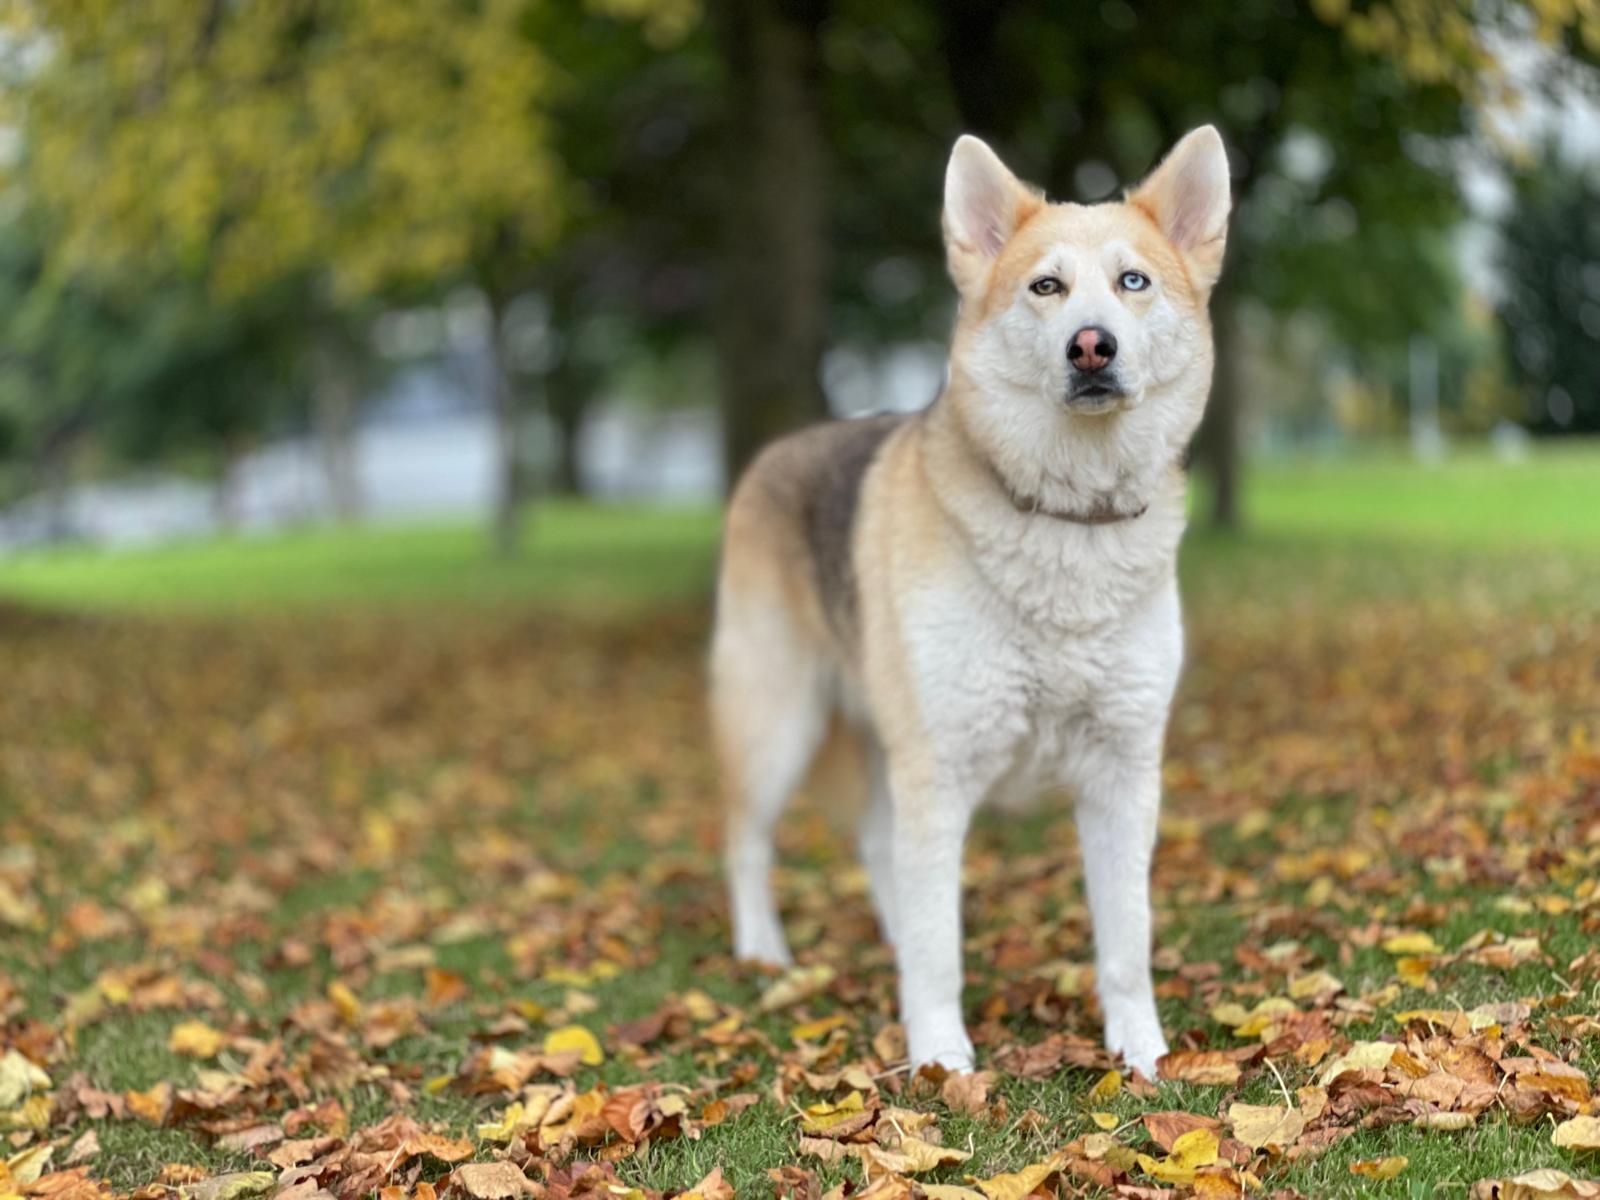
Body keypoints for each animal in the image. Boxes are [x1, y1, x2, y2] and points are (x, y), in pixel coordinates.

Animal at [716, 129, 1235, 1081]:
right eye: (1046, 287)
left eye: (1133, 281)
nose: (1093, 347)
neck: (1067, 524)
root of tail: (779, 449)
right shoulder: (941, 767)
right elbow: (940, 945)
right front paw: (939, 1057)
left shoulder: (1123, 775)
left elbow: (1126, 939)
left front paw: (1142, 1053)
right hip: (779, 724)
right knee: (746, 841)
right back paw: (764, 950)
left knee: (878, 847)